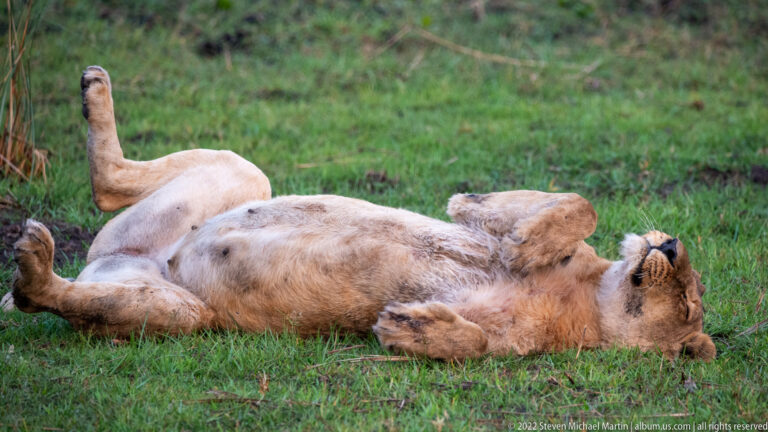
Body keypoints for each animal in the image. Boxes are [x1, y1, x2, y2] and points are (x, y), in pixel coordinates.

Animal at [2, 66, 715, 361]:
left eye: (688, 302)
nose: (672, 246)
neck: (590, 291)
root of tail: (116, 261)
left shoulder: (516, 340)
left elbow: (477, 343)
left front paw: (408, 328)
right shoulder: (534, 222)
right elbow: (572, 205)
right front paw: (520, 239)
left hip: (180, 313)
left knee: (56, 290)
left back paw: (34, 260)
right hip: (242, 172)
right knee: (109, 183)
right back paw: (93, 90)